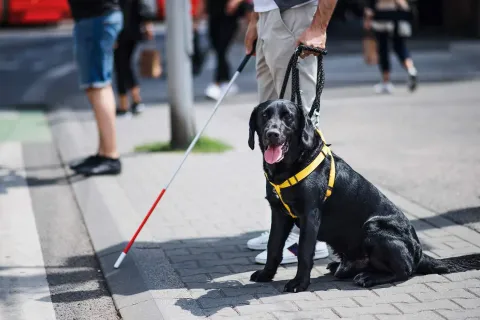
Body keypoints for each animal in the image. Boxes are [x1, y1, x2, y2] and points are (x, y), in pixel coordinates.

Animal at [248, 99, 480, 292]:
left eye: (287, 116)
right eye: (265, 116)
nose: (272, 134)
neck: (288, 168)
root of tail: (420, 254)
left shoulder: (310, 215)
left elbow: (305, 253)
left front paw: (299, 283)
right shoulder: (279, 213)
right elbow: (273, 246)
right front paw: (266, 274)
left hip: (373, 227)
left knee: (405, 271)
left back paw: (369, 277)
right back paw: (342, 267)